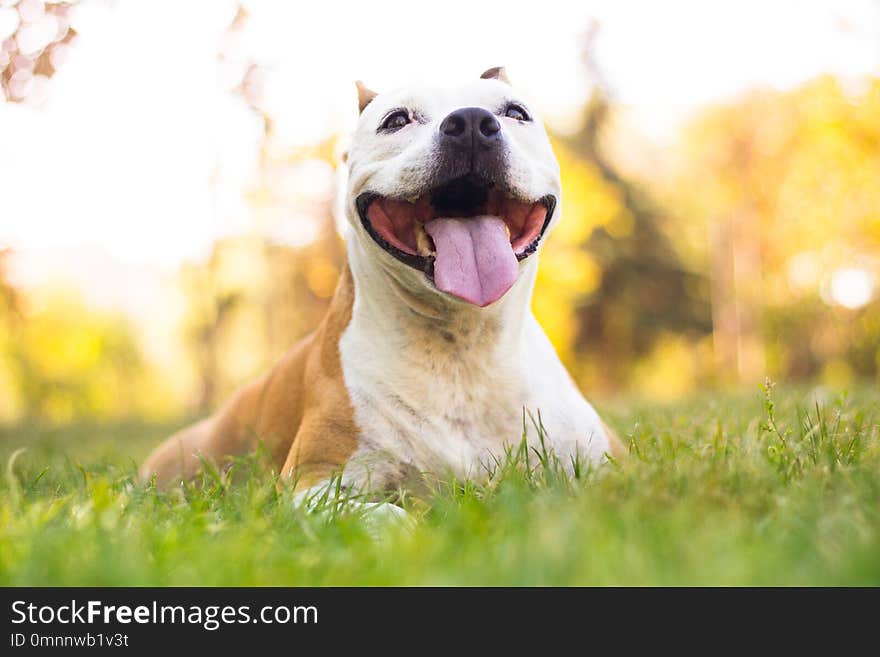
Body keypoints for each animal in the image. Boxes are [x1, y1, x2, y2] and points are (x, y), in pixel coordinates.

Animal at [141, 66, 624, 498]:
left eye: (515, 112)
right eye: (396, 120)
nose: (470, 122)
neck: (464, 350)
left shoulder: (611, 461)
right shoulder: (314, 483)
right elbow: (388, 513)